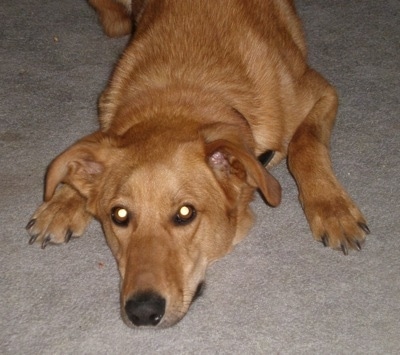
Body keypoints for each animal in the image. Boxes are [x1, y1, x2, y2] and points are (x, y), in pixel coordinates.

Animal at [25, 0, 368, 330]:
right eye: (119, 215)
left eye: (185, 213)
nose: (142, 312)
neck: (183, 92)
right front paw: (63, 203)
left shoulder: (322, 92)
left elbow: (304, 143)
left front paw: (332, 208)